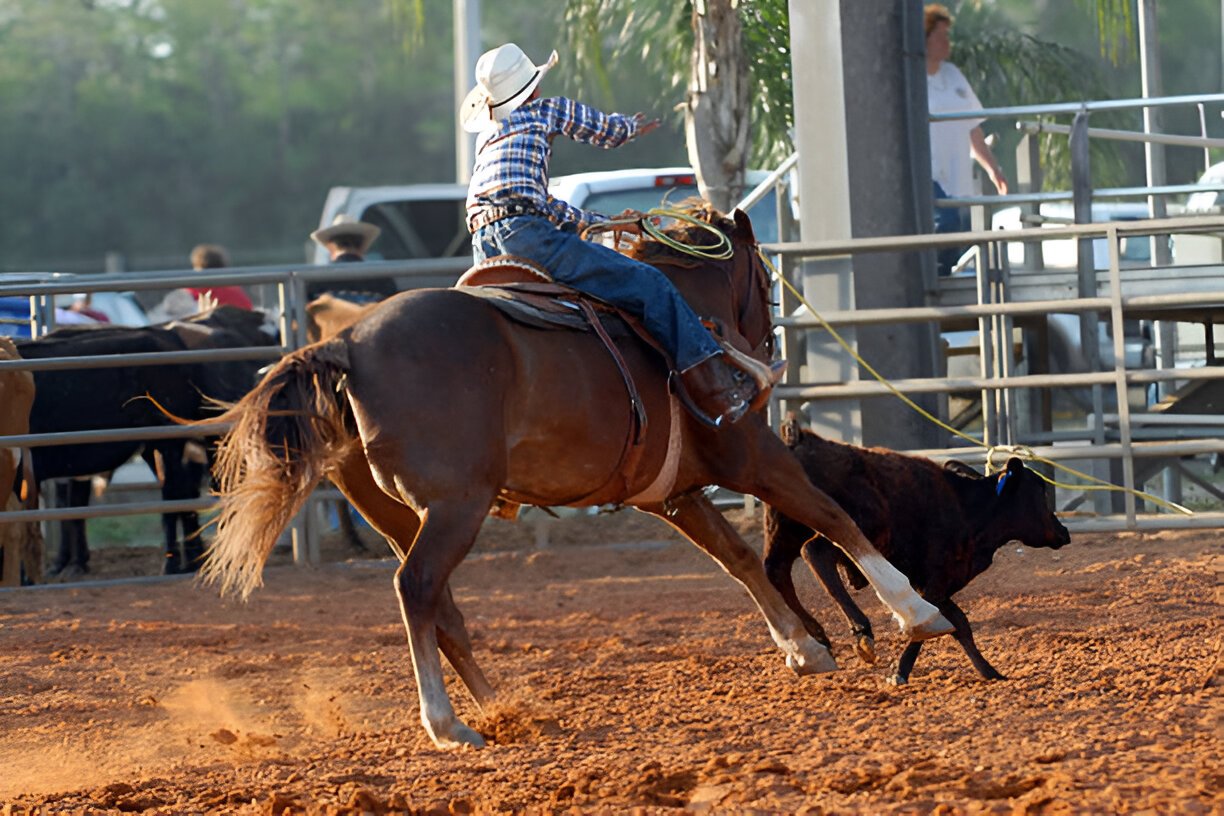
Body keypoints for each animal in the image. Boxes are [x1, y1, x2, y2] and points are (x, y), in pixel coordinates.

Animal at [200, 207, 949, 748]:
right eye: (763, 284)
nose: (762, 352)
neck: (684, 318)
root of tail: (346, 343)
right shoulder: (749, 453)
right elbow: (833, 516)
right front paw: (918, 613)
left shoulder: (671, 495)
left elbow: (736, 557)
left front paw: (803, 647)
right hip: (456, 505)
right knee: (417, 588)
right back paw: (446, 724)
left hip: (399, 514)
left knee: (442, 606)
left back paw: (499, 707)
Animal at [763, 418, 1072, 685]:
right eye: (1041, 492)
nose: (1064, 531)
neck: (967, 509)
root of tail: (800, 440)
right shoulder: (935, 581)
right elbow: (938, 624)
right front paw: (899, 673)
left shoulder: (939, 587)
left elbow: (960, 624)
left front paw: (990, 672)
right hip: (852, 525)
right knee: (815, 552)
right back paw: (860, 631)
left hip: (782, 531)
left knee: (776, 571)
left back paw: (816, 637)